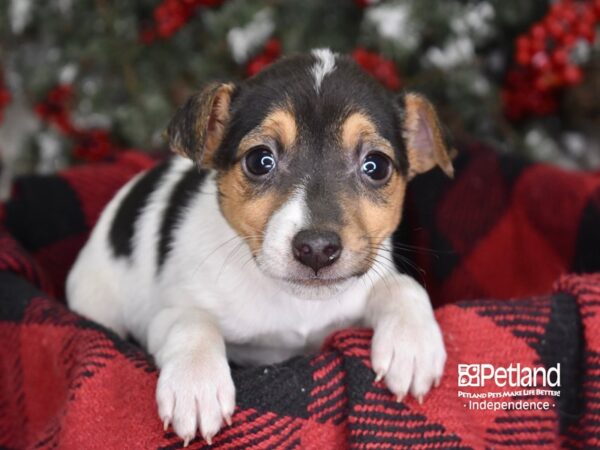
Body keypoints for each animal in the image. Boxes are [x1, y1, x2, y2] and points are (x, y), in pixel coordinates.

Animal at [65, 48, 452, 442]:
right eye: (259, 160)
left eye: (376, 165)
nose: (316, 248)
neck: (295, 303)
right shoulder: (166, 314)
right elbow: (192, 321)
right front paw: (195, 383)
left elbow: (402, 286)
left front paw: (413, 344)